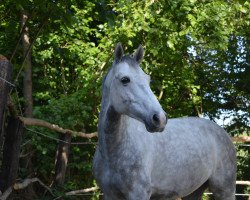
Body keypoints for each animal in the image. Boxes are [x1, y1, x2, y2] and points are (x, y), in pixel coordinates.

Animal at [93, 43, 236, 199]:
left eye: (147, 79)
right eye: (125, 79)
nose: (160, 118)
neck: (113, 153)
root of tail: (223, 133)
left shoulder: (139, 193)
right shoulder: (109, 194)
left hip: (225, 190)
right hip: (195, 191)